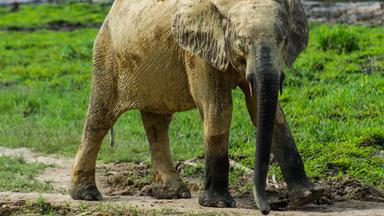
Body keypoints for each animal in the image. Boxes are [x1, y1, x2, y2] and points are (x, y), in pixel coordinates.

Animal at [68, 0, 324, 213]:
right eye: (242, 42)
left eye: (284, 40)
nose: (266, 209)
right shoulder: (198, 52)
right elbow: (219, 109)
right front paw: (218, 204)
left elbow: (267, 112)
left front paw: (308, 197)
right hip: (106, 54)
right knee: (101, 118)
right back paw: (86, 195)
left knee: (157, 122)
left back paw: (172, 193)